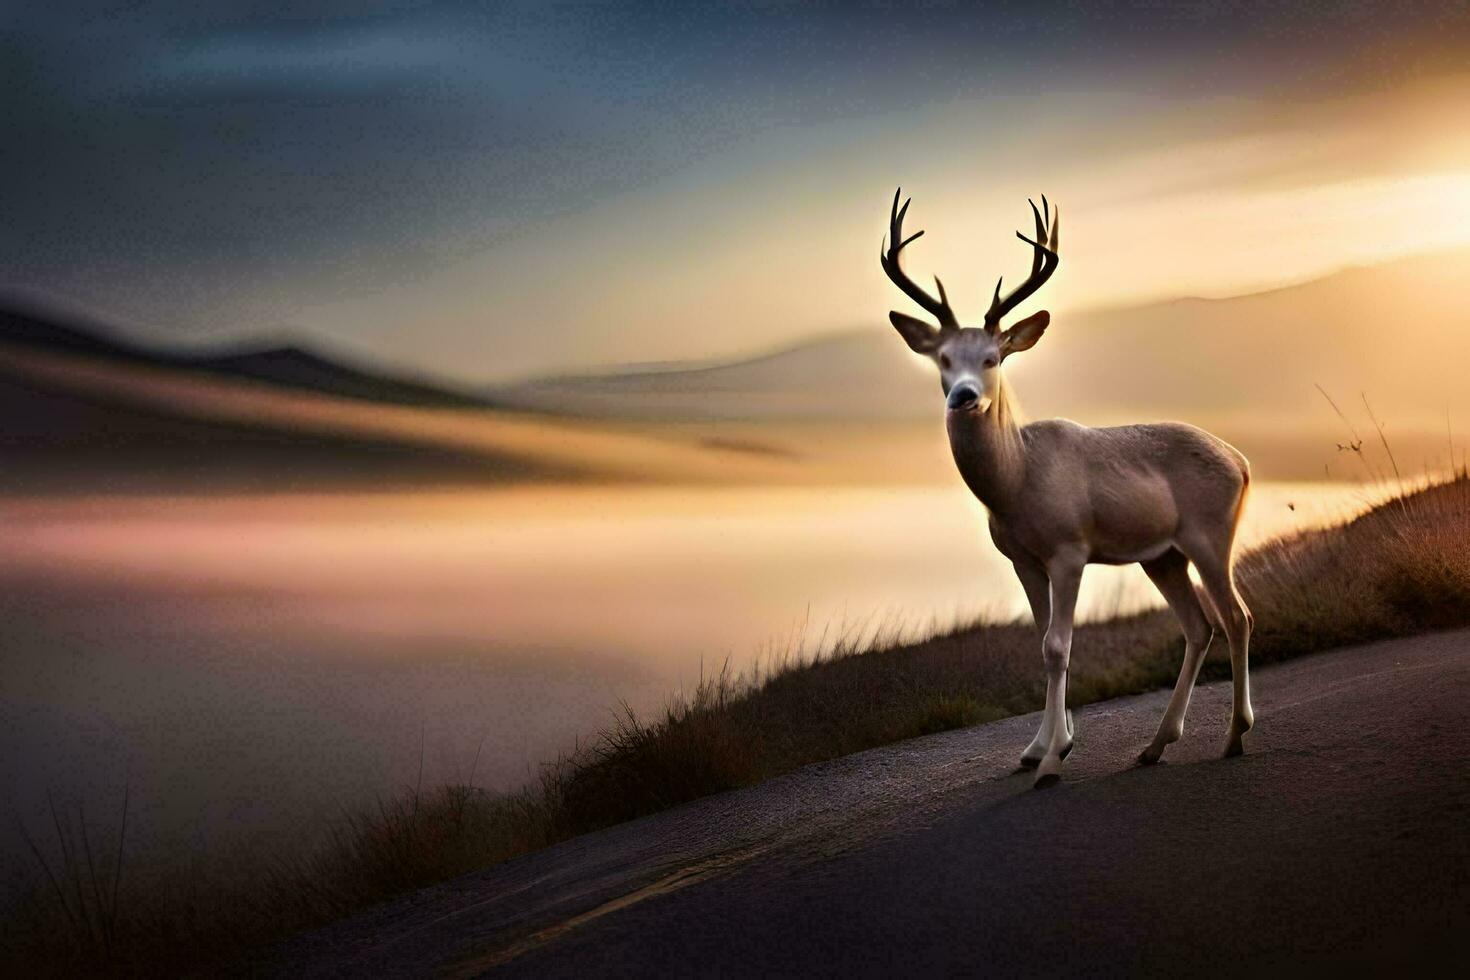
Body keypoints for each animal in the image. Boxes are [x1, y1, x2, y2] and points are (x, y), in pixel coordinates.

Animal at [876, 191, 1258, 787]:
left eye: (992, 358)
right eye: (943, 359)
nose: (964, 396)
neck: (1017, 480)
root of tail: (1241, 462)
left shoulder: (1069, 548)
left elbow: (1059, 645)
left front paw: (1054, 758)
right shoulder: (1022, 558)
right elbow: (1042, 642)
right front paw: (1039, 748)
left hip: (1210, 535)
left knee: (1237, 618)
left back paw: (1235, 735)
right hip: (1162, 555)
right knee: (1200, 626)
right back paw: (1155, 745)